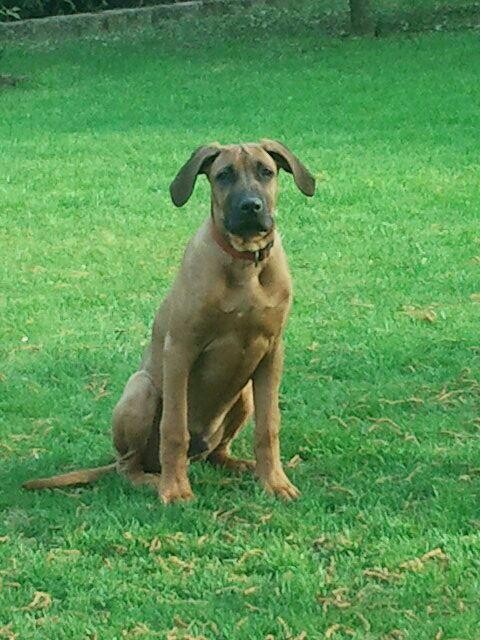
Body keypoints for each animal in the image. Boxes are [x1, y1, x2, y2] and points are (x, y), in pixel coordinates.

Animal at [23, 140, 315, 503]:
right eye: (224, 175)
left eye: (266, 172)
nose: (251, 207)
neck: (244, 264)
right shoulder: (179, 349)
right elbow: (174, 428)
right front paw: (175, 491)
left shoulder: (272, 352)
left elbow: (269, 425)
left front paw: (274, 481)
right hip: (141, 389)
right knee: (130, 465)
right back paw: (153, 480)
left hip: (243, 394)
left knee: (217, 452)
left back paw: (240, 465)